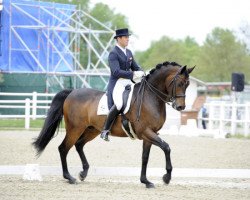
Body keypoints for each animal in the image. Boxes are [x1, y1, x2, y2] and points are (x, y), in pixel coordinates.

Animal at [32, 61, 194, 188]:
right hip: (75, 128)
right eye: (179, 83)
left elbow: (145, 157)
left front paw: (146, 181)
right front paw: (166, 177)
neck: (150, 97)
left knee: (78, 145)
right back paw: (69, 177)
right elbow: (166, 147)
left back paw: (83, 173)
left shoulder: (150, 134)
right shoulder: (146, 131)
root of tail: (72, 92)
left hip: (92, 130)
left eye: (188, 85)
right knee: (63, 148)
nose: (181, 107)